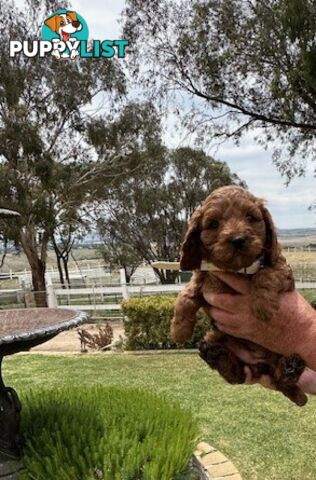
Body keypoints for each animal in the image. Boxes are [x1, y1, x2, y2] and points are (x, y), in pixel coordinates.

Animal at [172, 186, 308, 406]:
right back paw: (216, 355)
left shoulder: (282, 270)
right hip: (216, 337)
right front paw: (179, 331)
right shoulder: (203, 278)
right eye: (213, 224)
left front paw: (262, 307)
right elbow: (185, 295)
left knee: (279, 377)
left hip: (277, 350)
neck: (236, 270)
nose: (237, 239)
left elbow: (266, 274)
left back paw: (291, 368)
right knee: (237, 375)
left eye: (251, 217)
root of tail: (261, 364)